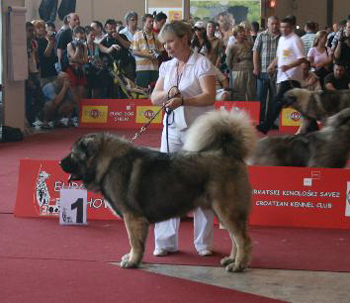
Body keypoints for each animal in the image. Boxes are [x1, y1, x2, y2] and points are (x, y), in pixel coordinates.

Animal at [60, 111, 256, 274]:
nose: (60, 163)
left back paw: (238, 265)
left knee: (243, 240)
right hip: (222, 211)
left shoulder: (132, 217)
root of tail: (230, 154)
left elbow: (134, 242)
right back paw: (231, 259)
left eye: (73, 153)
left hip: (226, 210)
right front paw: (131, 257)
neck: (107, 163)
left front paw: (132, 261)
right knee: (234, 238)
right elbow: (135, 243)